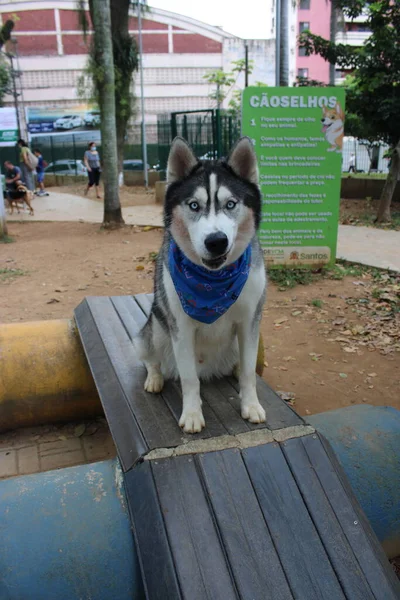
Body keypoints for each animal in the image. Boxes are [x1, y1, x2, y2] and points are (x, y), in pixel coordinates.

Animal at [136, 138, 268, 434]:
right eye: (194, 205)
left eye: (230, 204)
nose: (216, 241)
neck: (212, 284)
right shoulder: (182, 328)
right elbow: (189, 379)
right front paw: (193, 414)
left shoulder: (249, 322)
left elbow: (248, 373)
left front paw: (251, 405)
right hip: (156, 327)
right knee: (151, 358)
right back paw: (155, 377)